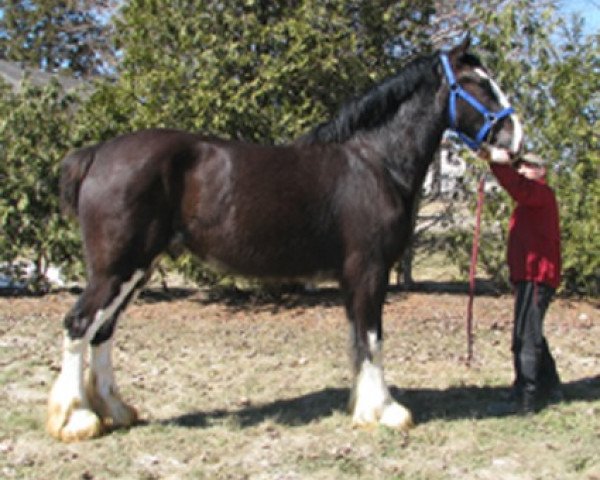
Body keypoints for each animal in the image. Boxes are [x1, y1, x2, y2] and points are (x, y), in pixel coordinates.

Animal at [49, 34, 524, 442]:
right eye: (478, 84)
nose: (517, 139)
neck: (374, 162)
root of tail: (96, 155)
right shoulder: (370, 271)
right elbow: (372, 338)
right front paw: (385, 411)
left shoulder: (353, 278)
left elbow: (357, 340)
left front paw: (361, 407)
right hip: (116, 269)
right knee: (79, 325)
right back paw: (76, 419)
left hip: (135, 270)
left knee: (103, 330)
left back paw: (115, 412)